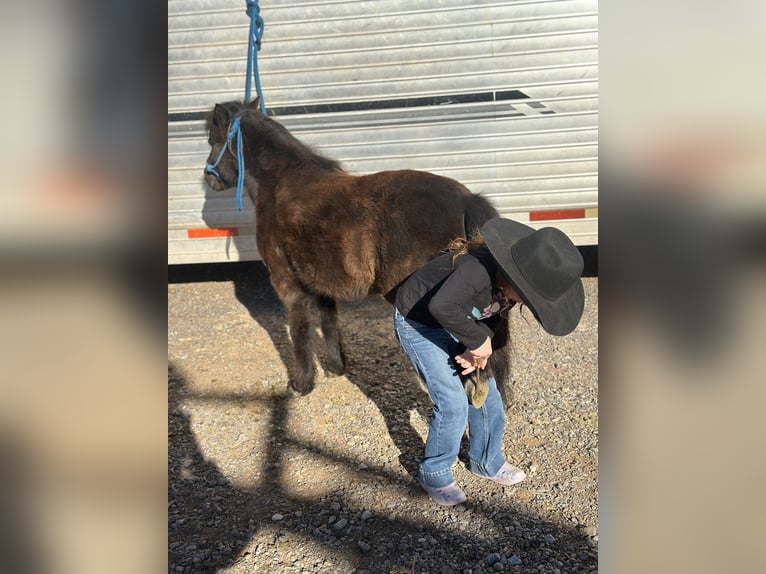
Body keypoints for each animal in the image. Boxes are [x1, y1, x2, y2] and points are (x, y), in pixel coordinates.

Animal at [203, 98, 512, 400]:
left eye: (211, 140)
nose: (209, 177)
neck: (280, 181)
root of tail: (468, 200)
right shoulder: (322, 283)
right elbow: (329, 322)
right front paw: (336, 367)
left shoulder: (286, 282)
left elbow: (299, 330)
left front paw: (302, 384)